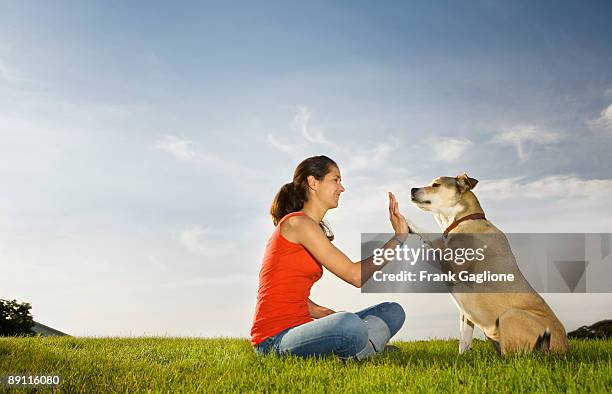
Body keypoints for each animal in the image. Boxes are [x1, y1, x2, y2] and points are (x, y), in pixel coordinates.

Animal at [406, 174, 568, 356]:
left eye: (436, 184)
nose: (412, 189)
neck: (463, 219)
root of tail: (564, 350)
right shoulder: (465, 313)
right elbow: (464, 338)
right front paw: (462, 357)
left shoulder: (453, 258)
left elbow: (432, 235)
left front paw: (407, 221)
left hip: (510, 315)